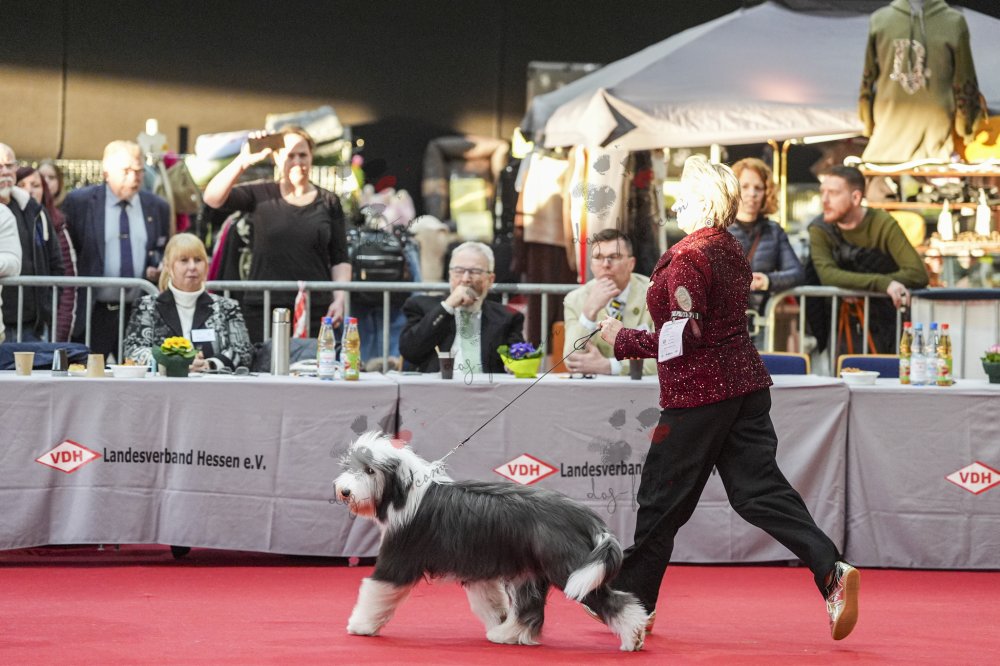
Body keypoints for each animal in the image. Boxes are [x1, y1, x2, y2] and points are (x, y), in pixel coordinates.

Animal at [333, 431, 648, 651]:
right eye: (352, 466)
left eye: (370, 470)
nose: (344, 491)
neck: (404, 491)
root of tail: (586, 516)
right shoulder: (478, 568)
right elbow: (491, 601)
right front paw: (499, 618)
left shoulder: (398, 559)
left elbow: (376, 592)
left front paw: (360, 626)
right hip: (531, 572)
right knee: (529, 608)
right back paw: (505, 634)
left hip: (569, 570)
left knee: (616, 601)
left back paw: (633, 636)